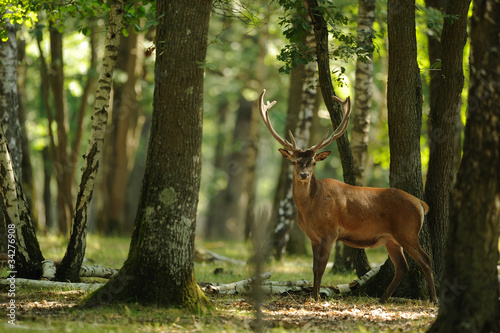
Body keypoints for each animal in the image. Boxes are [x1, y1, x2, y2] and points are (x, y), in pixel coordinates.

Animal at [260, 89, 436, 304]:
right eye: (294, 161)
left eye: (313, 162)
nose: (304, 175)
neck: (309, 207)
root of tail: (421, 203)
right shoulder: (313, 237)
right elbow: (314, 268)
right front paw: (313, 295)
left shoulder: (330, 232)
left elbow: (320, 268)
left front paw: (316, 297)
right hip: (391, 239)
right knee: (403, 266)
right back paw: (382, 298)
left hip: (408, 232)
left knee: (426, 260)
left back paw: (433, 299)